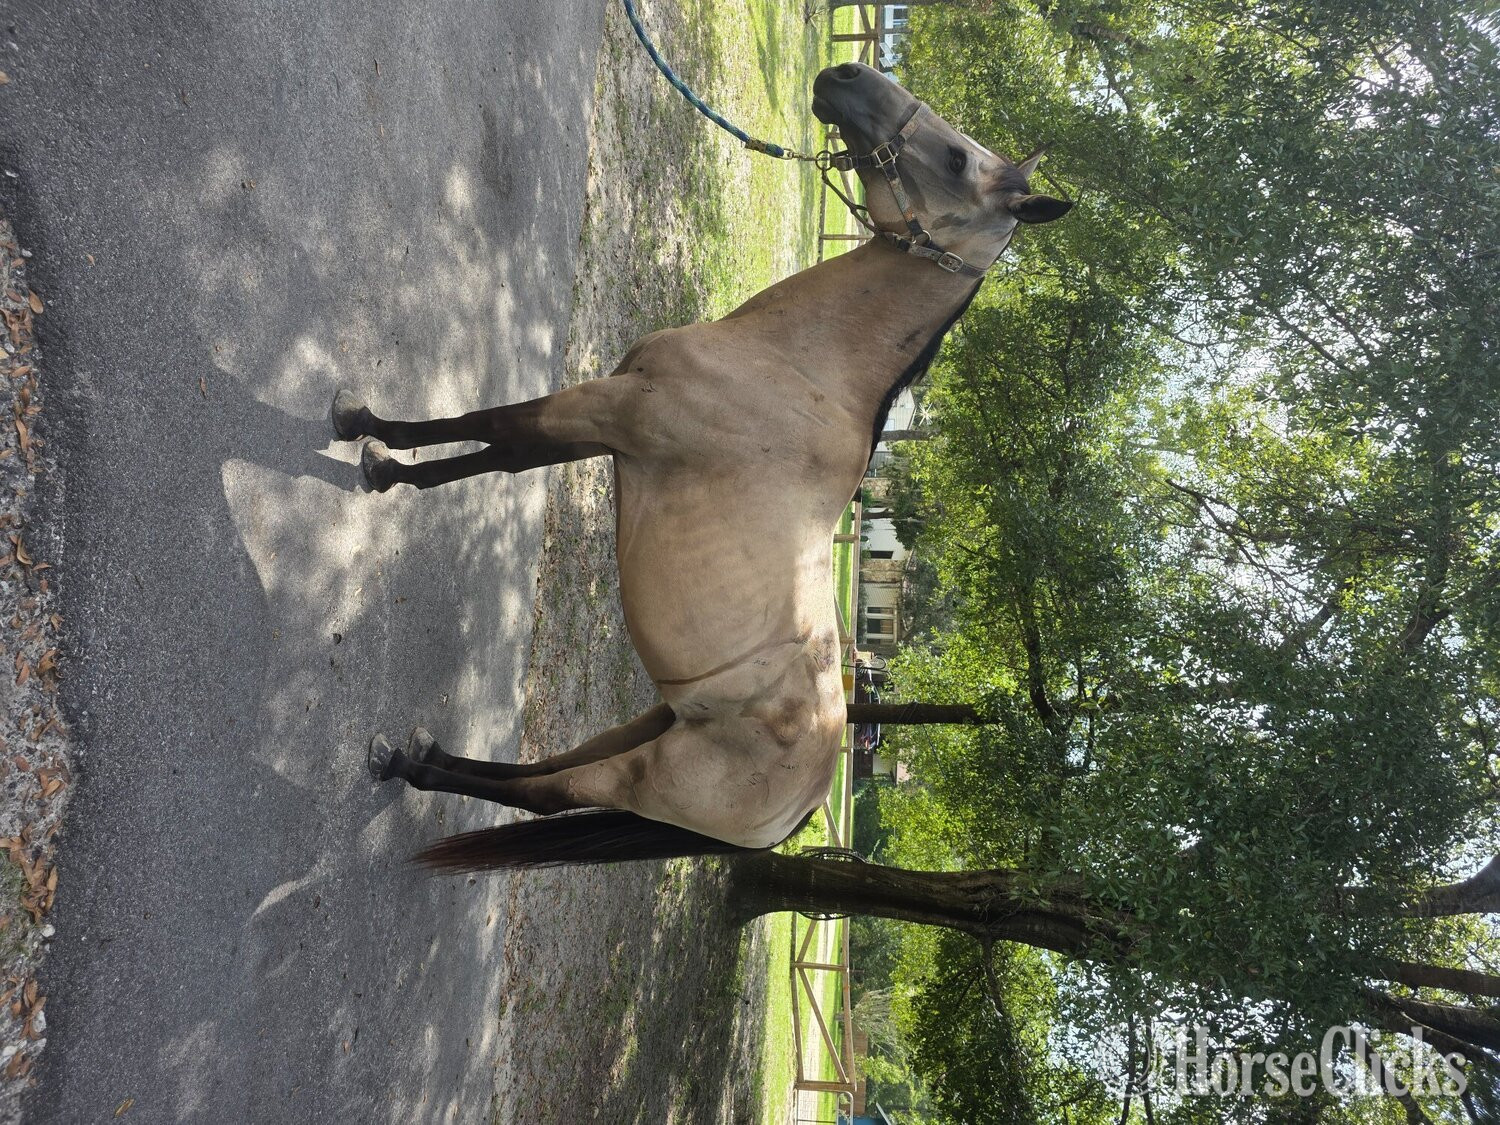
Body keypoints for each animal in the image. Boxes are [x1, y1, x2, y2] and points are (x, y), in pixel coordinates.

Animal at [332, 61, 1070, 872]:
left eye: (958, 160)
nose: (846, 74)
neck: (797, 369)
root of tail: (802, 806)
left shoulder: (606, 409)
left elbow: (489, 429)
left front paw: (367, 439)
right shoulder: (605, 425)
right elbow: (501, 456)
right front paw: (393, 466)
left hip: (645, 774)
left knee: (548, 792)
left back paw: (411, 765)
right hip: (656, 720)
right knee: (551, 768)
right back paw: (430, 754)